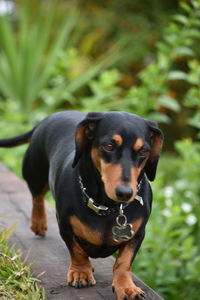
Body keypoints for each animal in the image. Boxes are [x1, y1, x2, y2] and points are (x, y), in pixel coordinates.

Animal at [0, 111, 162, 298]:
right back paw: (38, 224)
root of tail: (48, 118)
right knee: (37, 197)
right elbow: (77, 251)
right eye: (109, 146)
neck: (106, 206)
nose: (125, 193)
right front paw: (81, 273)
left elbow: (124, 261)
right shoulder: (65, 226)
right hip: (35, 174)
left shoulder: (137, 234)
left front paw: (127, 287)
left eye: (144, 151)